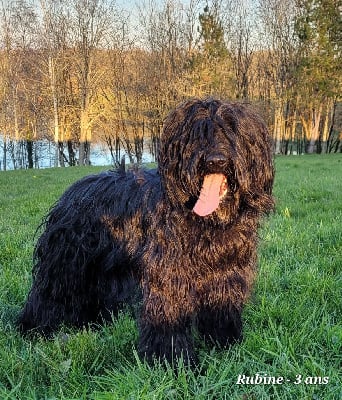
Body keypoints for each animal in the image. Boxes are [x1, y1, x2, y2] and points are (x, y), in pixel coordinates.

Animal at [18, 97, 276, 366]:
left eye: (230, 129)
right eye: (196, 133)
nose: (216, 160)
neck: (207, 223)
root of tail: (73, 191)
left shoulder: (225, 274)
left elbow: (221, 308)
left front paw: (225, 344)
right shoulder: (169, 276)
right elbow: (168, 317)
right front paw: (173, 361)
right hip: (68, 263)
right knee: (49, 294)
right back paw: (34, 328)